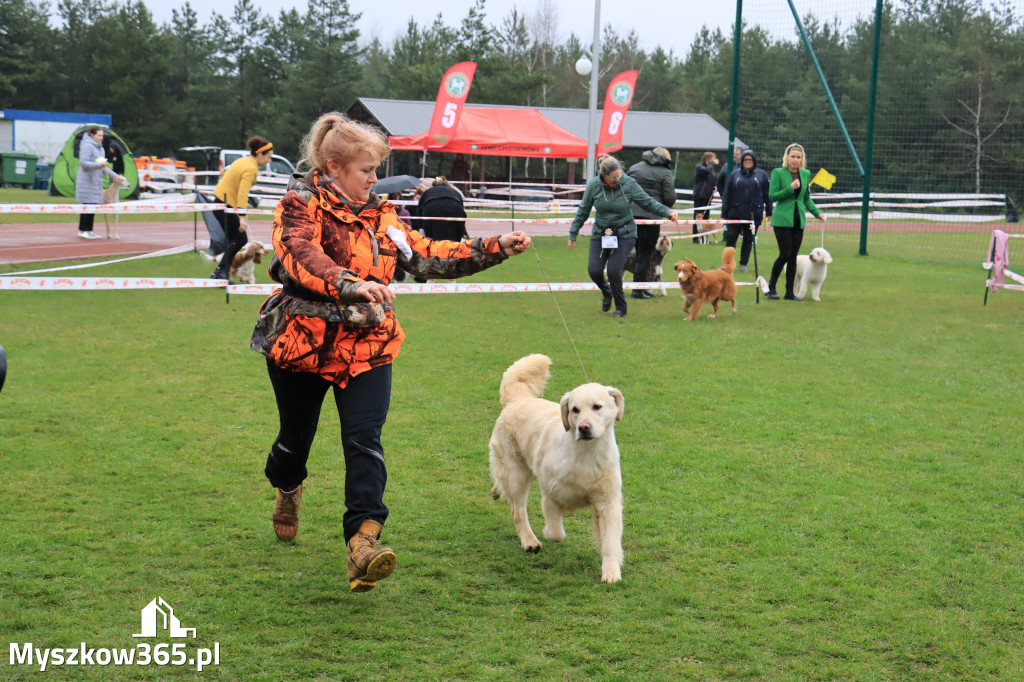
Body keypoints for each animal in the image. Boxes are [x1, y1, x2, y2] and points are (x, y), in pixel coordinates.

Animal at [487, 352, 622, 581]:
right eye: (575, 410)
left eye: (597, 406)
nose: (584, 427)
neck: (585, 455)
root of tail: (519, 399)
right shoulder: (550, 494)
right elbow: (555, 533)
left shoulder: (609, 501)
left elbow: (611, 542)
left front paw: (611, 573)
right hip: (517, 474)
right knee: (517, 509)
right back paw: (530, 541)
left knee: (501, 483)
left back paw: (496, 490)